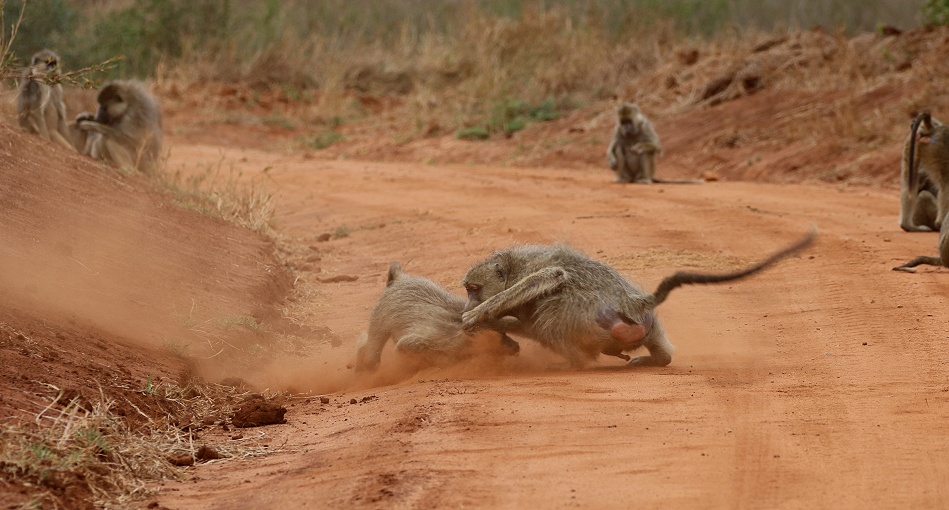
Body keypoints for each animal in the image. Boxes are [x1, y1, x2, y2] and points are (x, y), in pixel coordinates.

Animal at [354, 262, 520, 372]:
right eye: (499, 337)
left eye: (504, 333)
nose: (516, 347)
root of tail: (398, 279)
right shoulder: (438, 341)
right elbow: (406, 346)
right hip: (381, 317)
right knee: (372, 349)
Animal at [460, 229, 816, 368]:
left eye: (472, 289)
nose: (467, 304)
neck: (512, 267)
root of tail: (633, 302)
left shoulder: (534, 271)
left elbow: (551, 276)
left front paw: (480, 315)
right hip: (647, 323)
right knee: (662, 354)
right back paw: (653, 358)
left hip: (578, 318)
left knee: (551, 323)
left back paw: (575, 362)